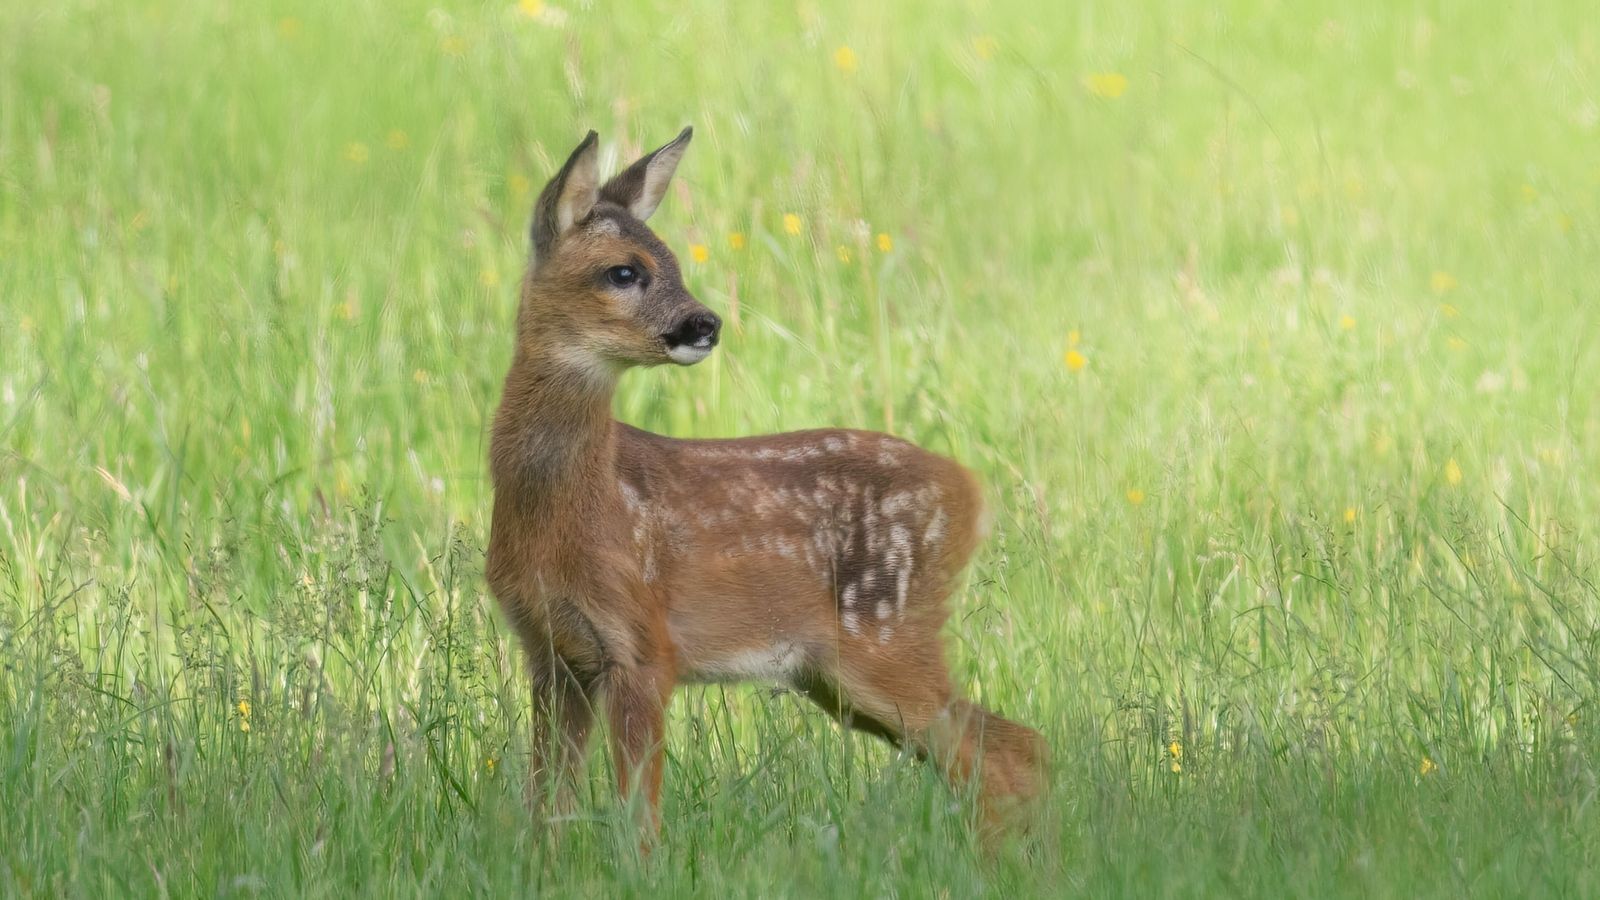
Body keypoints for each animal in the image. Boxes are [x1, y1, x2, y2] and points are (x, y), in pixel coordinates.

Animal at [485, 127, 1046, 847]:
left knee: (1008, 752)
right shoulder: (552, 654)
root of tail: (972, 493)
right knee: (1008, 749)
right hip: (839, 677)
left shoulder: (644, 642)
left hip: (884, 638)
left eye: (674, 262)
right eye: (624, 271)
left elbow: (639, 818)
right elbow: (546, 810)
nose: (705, 324)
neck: (567, 510)